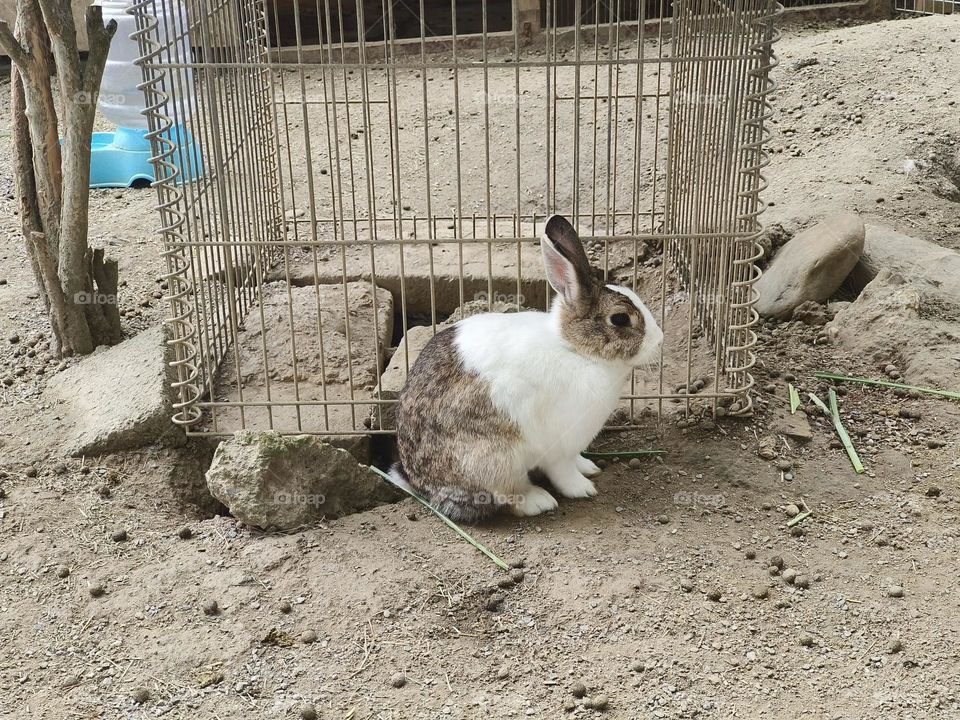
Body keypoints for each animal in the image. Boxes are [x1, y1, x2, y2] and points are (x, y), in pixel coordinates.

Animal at [390, 214, 663, 521]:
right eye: (620, 319)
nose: (660, 340)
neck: (575, 350)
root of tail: (421, 483)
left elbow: (575, 461)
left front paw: (589, 468)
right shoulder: (559, 445)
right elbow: (563, 471)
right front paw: (583, 488)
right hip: (497, 460)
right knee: (507, 494)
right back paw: (539, 501)